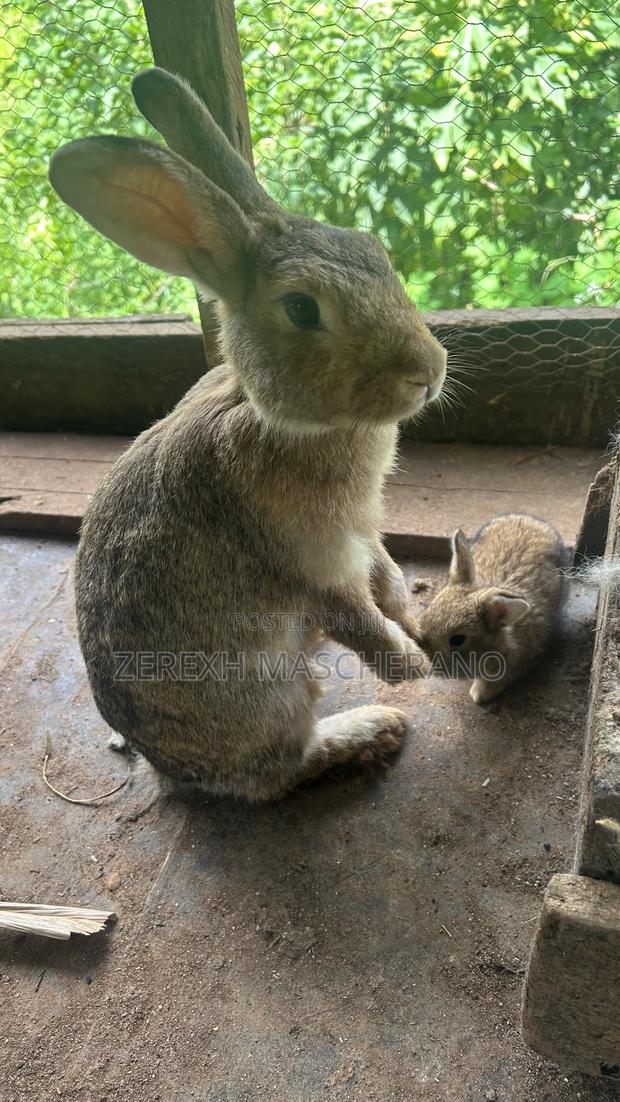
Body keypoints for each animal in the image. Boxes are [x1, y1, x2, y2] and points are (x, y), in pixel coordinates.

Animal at [48, 67, 447, 802]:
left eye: (374, 250)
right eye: (301, 309)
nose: (428, 372)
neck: (284, 418)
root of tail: (168, 767)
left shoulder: (364, 533)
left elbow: (390, 581)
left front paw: (420, 624)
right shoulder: (316, 561)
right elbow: (362, 624)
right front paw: (415, 665)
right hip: (266, 691)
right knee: (280, 768)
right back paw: (373, 730)